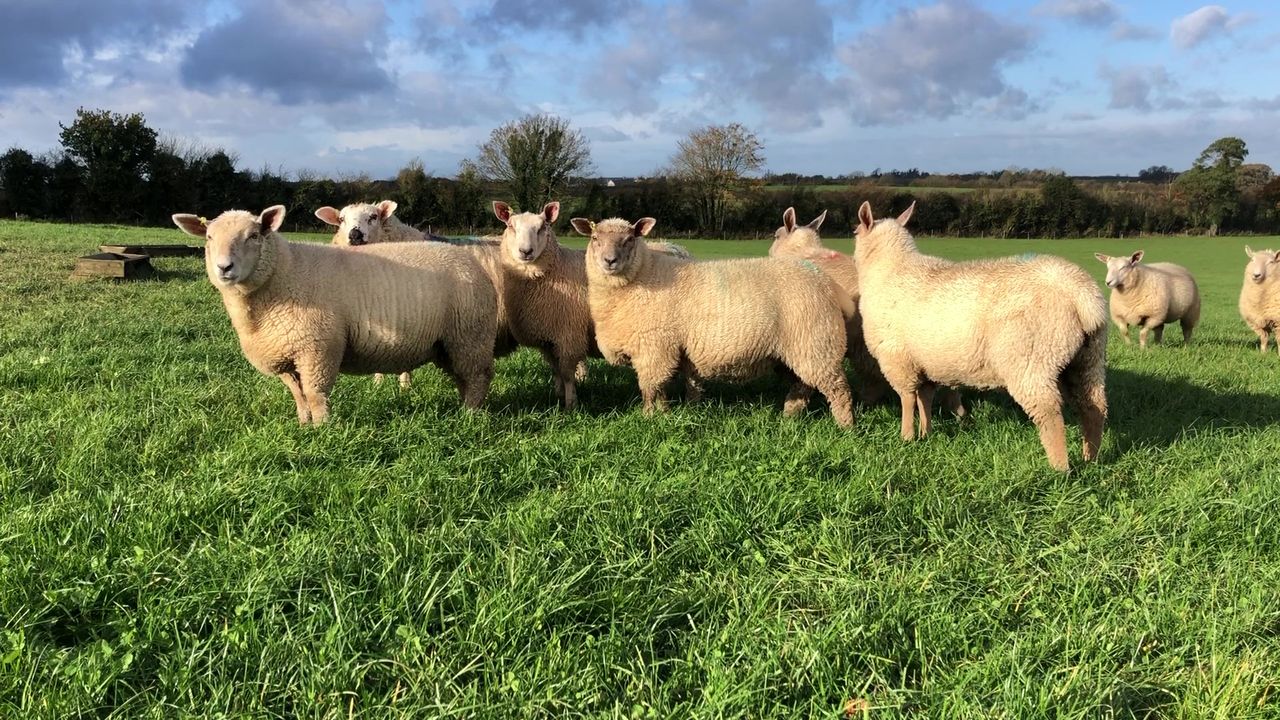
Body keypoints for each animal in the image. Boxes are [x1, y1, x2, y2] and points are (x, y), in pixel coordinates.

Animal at [172, 205, 497, 425]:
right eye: (208, 237)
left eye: (253, 235)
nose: (223, 268)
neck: (283, 274)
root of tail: (470, 259)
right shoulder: (286, 354)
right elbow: (298, 394)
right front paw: (304, 425)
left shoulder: (317, 349)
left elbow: (315, 394)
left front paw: (323, 429)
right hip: (449, 342)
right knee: (464, 377)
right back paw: (463, 407)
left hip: (471, 334)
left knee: (479, 377)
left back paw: (469, 416)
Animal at [573, 215, 855, 427]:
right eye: (595, 239)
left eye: (630, 239)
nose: (610, 261)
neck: (643, 274)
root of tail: (825, 281)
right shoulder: (664, 349)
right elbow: (662, 388)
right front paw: (664, 414)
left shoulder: (655, 347)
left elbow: (650, 388)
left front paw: (649, 418)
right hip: (797, 349)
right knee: (802, 385)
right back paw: (790, 416)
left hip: (817, 342)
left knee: (838, 388)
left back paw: (846, 427)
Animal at [853, 201, 1107, 472]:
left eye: (855, 232)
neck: (890, 270)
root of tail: (1081, 294)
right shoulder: (926, 363)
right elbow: (925, 399)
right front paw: (925, 433)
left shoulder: (897, 358)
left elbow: (908, 399)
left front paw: (907, 437)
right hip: (1086, 359)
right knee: (1093, 407)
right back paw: (1091, 458)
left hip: (1032, 360)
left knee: (1050, 413)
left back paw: (1059, 468)